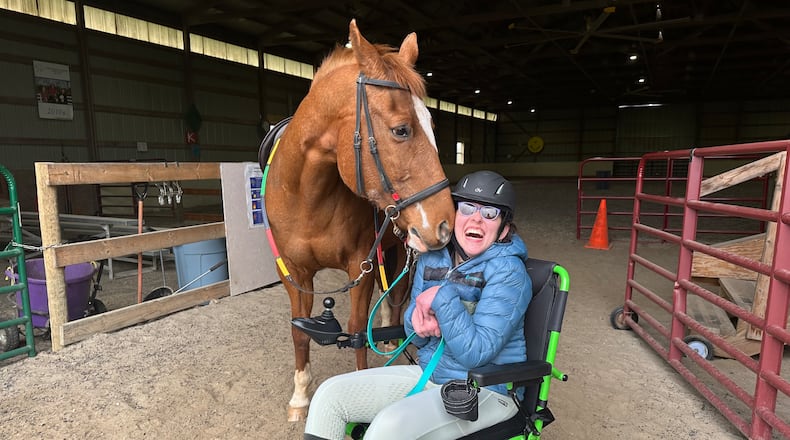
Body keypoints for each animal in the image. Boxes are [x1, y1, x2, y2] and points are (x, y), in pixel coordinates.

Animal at [259, 20, 455, 421]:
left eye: (431, 125)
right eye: (401, 129)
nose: (444, 225)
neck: (306, 198)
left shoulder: (359, 267)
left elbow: (356, 333)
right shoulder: (293, 274)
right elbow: (299, 332)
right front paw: (300, 397)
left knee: (395, 296)